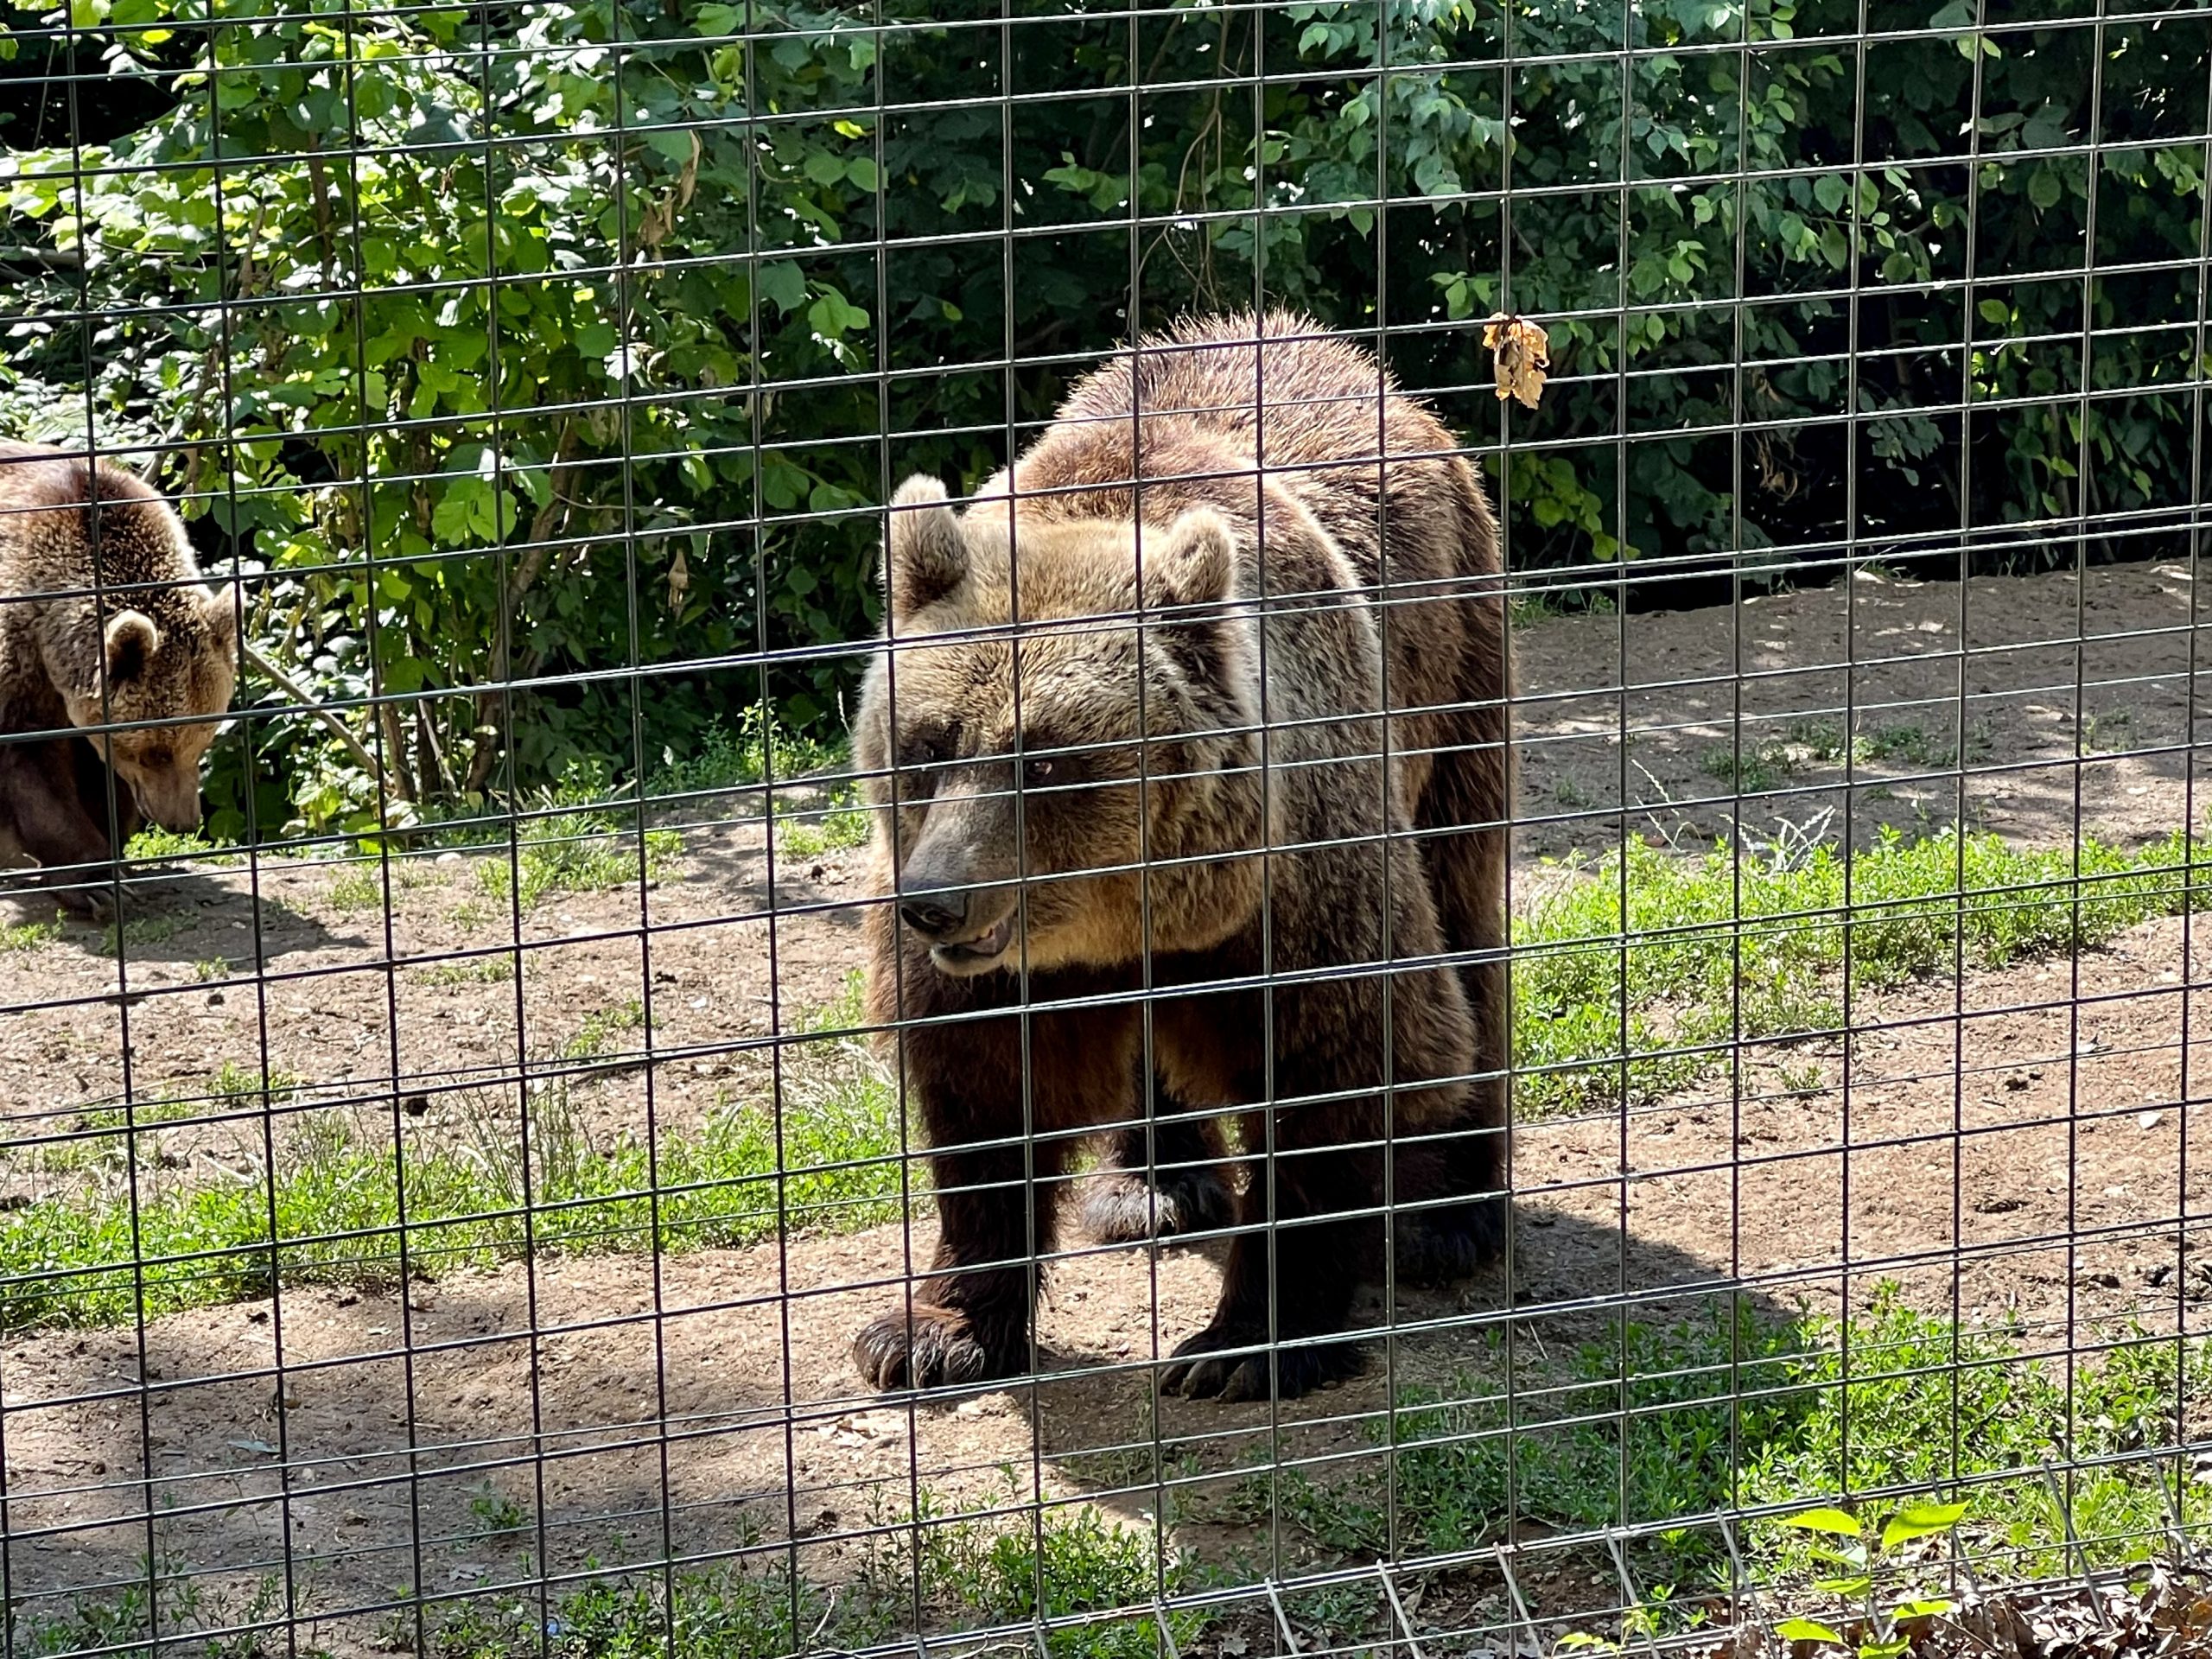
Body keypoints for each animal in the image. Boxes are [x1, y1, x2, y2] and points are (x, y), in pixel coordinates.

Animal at [0, 448, 236, 915]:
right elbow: (31, 762)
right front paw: (97, 883)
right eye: (155, 752)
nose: (182, 820)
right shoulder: (20, 655)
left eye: (204, 737)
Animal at [854, 311, 1513, 1407]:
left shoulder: (1300, 879)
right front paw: (931, 1332)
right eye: (927, 747)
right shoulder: (993, 964)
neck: (1134, 906)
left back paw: (1453, 1215)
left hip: (1458, 672)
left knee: (1464, 918)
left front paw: (1247, 1343)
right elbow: (986, 1093)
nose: (936, 902)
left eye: (1045, 760)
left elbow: (1344, 1053)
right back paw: (1155, 1184)